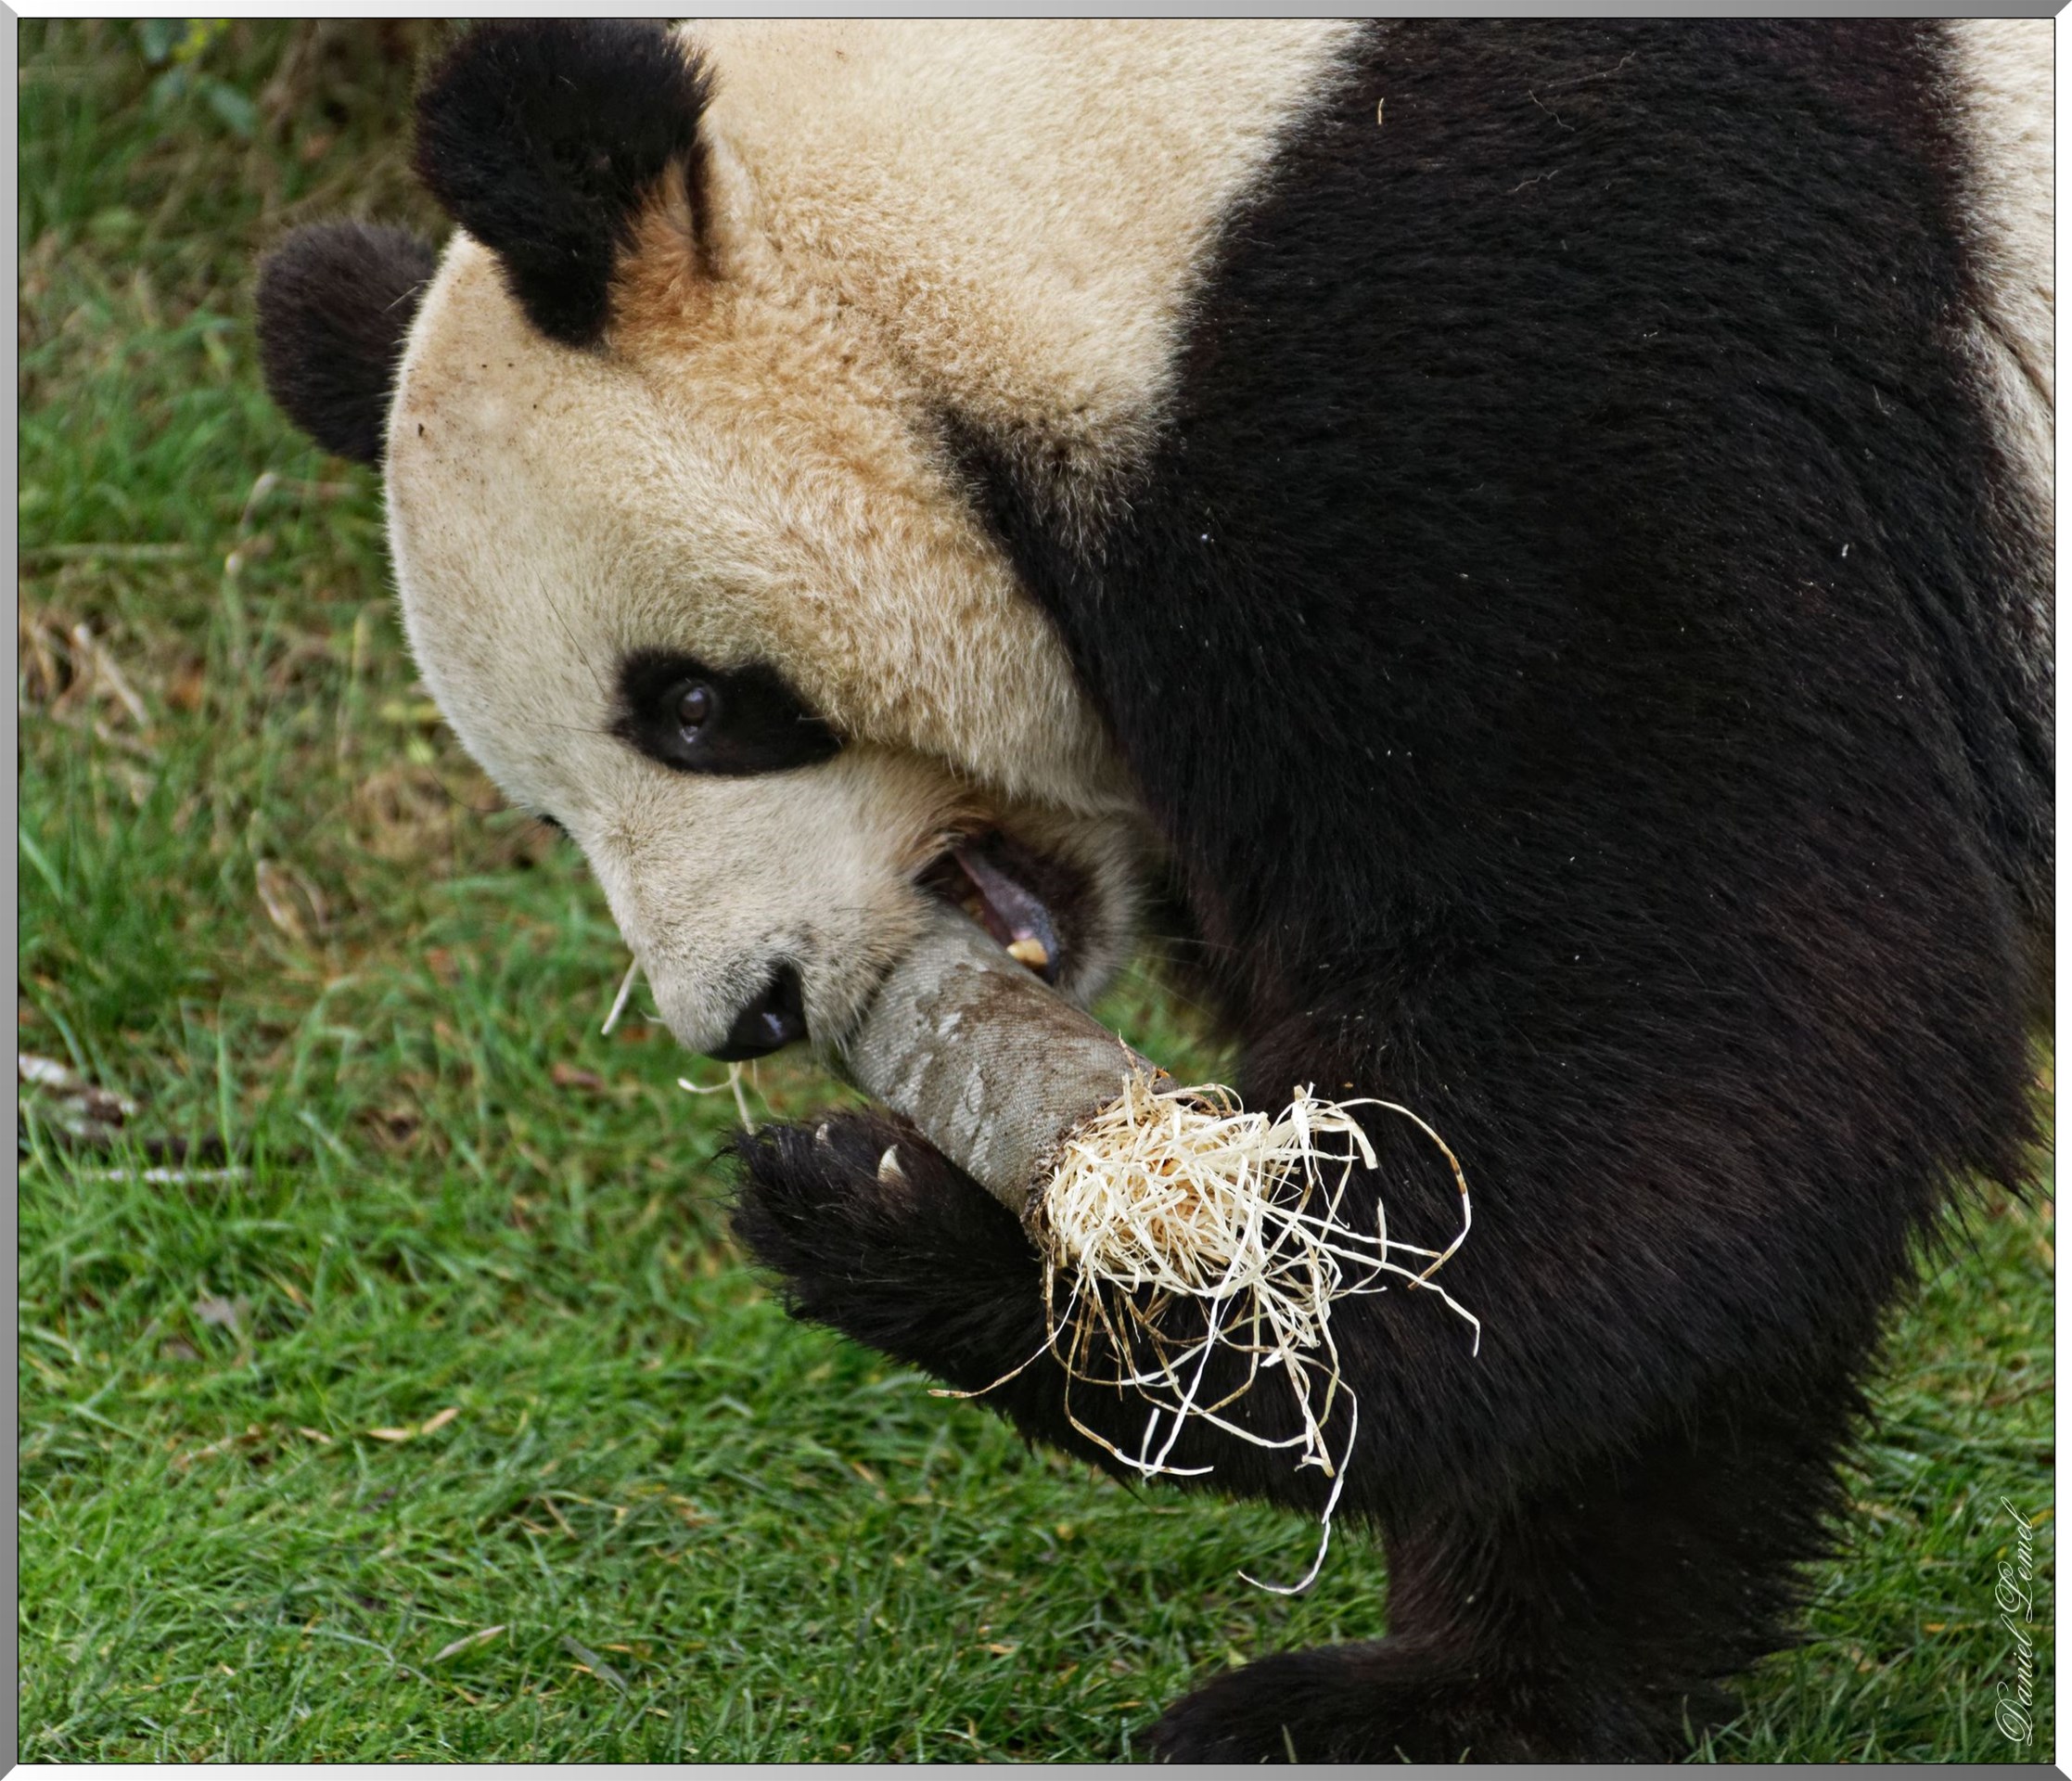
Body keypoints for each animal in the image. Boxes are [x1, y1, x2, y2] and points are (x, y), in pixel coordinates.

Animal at [256, 20, 2052, 1762]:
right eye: (548, 811)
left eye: (694, 706)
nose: (745, 1009)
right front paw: (1464, 1699)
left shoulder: (1549, 362)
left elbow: (1697, 1023)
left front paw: (943, 1230)